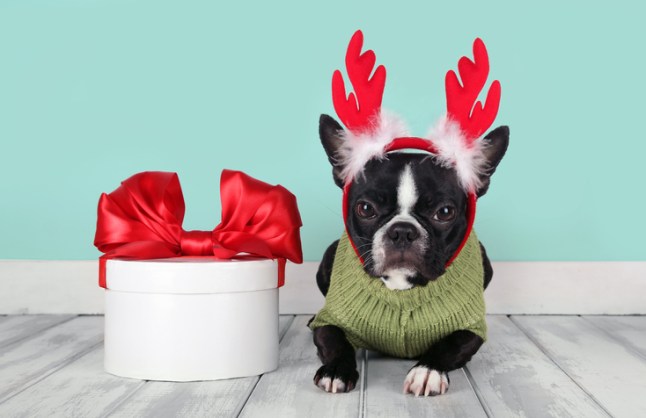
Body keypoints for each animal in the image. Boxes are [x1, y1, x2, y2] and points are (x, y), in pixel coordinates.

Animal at [308, 31, 512, 396]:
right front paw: (336, 369)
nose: (402, 231)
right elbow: (334, 339)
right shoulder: (329, 319)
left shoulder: (472, 327)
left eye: (444, 212)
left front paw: (427, 370)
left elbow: (450, 344)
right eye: (365, 208)